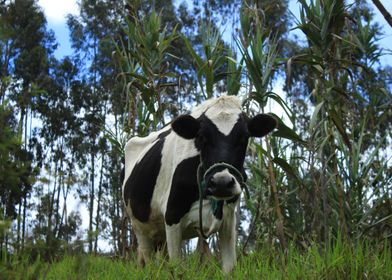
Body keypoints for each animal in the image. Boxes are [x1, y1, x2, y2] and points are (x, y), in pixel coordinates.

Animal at [122, 95, 276, 272]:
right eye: (202, 137)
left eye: (244, 137)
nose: (221, 182)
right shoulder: (172, 216)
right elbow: (177, 269)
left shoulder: (229, 221)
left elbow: (229, 268)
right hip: (140, 227)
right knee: (150, 262)